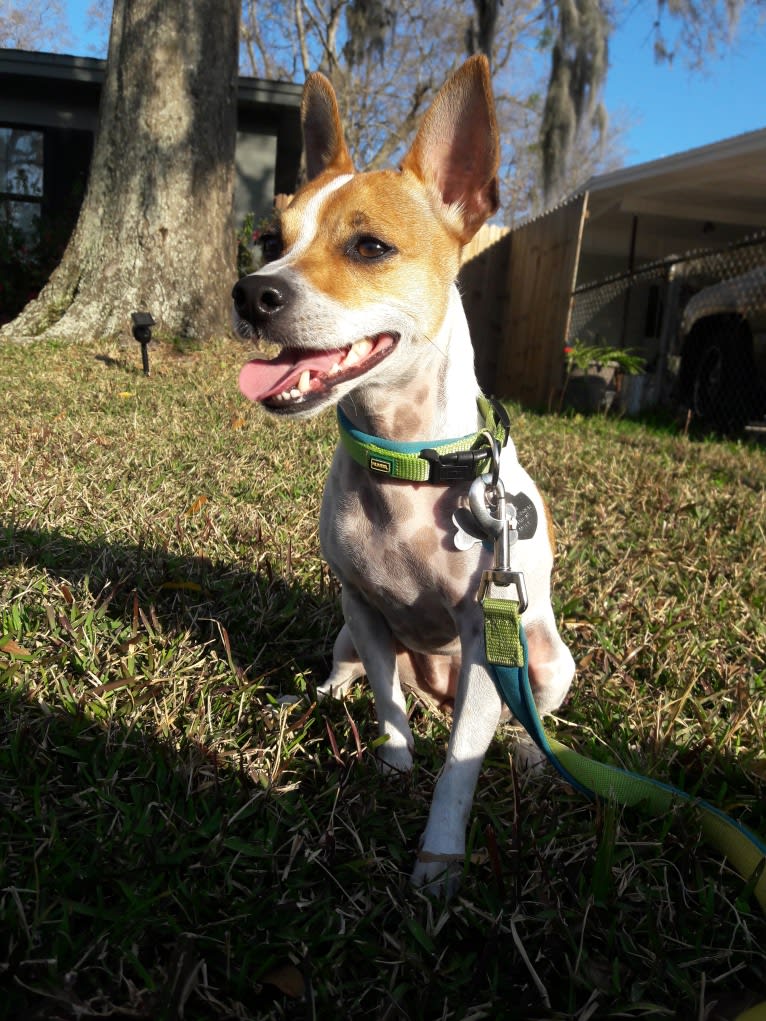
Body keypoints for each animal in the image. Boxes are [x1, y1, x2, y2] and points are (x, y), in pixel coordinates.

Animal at [233, 55, 576, 890]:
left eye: (369, 247)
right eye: (269, 239)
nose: (252, 292)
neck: (404, 459)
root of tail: (441, 692)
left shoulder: (489, 637)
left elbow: (459, 766)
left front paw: (439, 859)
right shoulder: (362, 607)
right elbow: (388, 707)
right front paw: (390, 768)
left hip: (548, 657)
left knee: (525, 717)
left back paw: (531, 758)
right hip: (349, 633)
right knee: (360, 676)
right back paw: (317, 697)